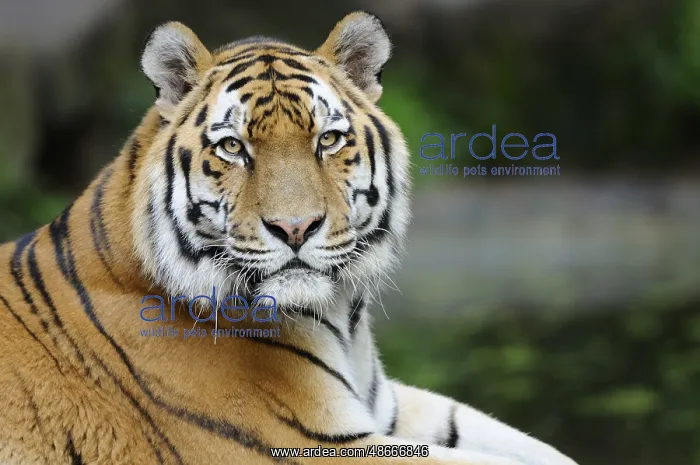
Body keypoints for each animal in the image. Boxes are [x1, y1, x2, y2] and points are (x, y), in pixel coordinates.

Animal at [0, 11, 579, 465]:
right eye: (233, 147)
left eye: (328, 139)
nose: (295, 228)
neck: (341, 322)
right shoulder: (311, 444)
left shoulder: (387, 408)